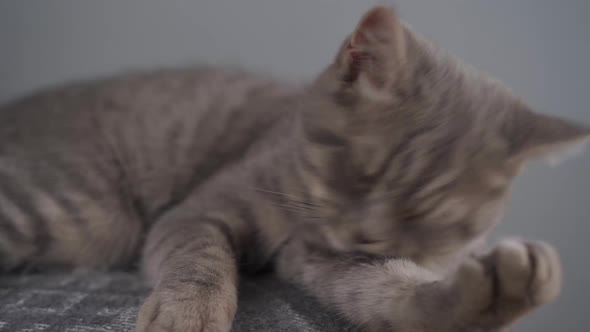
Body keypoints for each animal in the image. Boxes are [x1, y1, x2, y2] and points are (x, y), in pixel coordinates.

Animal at [1, 5, 590, 332]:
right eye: (363, 171)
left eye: (431, 218)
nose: (367, 236)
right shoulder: (197, 211)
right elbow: (201, 259)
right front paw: (187, 313)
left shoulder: (331, 264)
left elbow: (396, 295)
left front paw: (492, 295)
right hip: (81, 213)